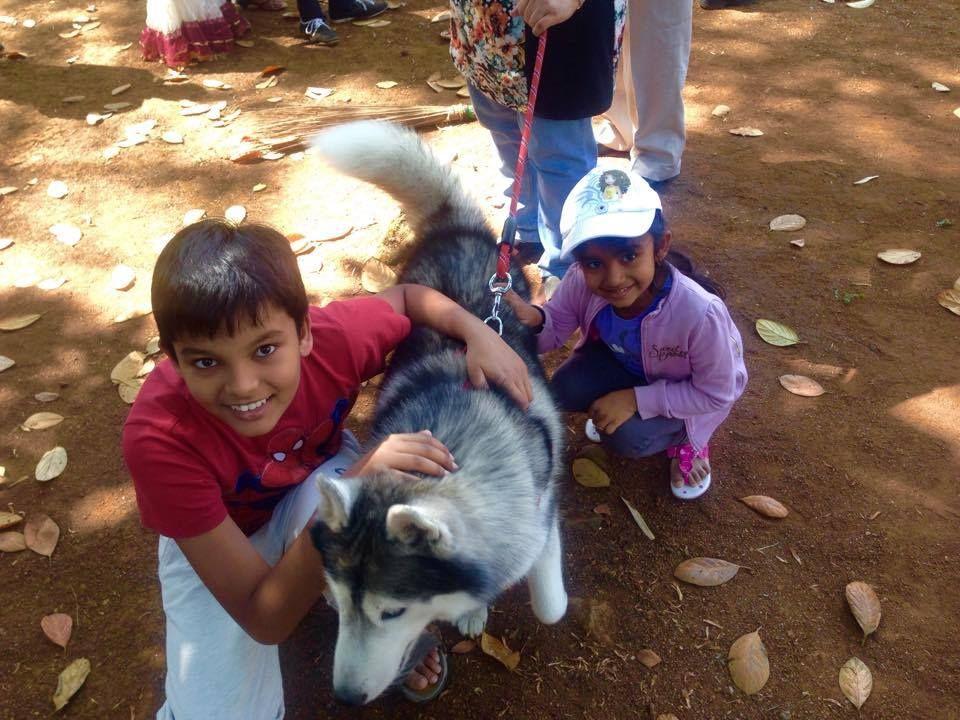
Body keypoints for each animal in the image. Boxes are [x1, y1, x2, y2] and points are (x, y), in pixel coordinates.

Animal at [312, 122, 568, 704]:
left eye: (392, 612)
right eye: (337, 600)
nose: (346, 698)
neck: (456, 439)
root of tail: (456, 225)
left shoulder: (538, 516)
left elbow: (550, 605)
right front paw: (471, 609)